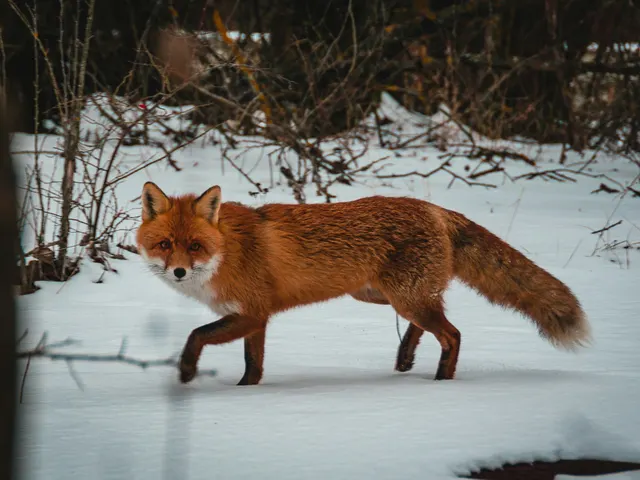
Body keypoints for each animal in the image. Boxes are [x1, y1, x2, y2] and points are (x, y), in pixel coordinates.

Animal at [135, 181, 591, 386]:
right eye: (165, 245)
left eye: (195, 246)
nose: (178, 272)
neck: (227, 250)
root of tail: (435, 208)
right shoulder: (255, 318)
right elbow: (254, 364)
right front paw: (247, 392)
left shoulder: (251, 312)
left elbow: (196, 335)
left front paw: (187, 371)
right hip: (382, 295)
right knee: (431, 321)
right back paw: (405, 358)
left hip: (402, 296)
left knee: (453, 333)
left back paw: (441, 382)